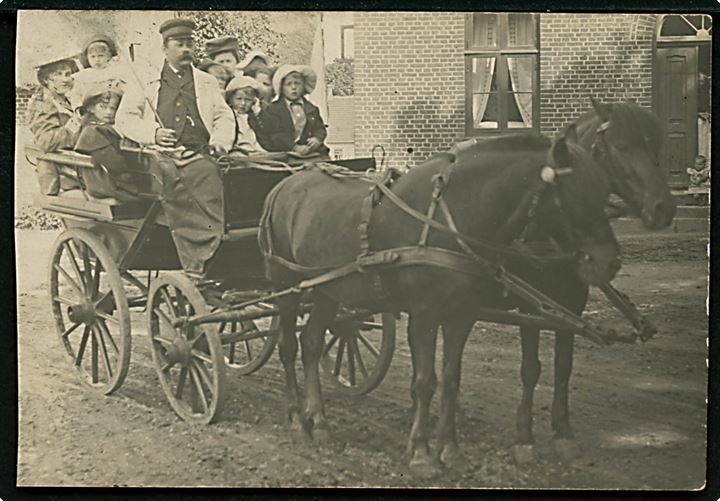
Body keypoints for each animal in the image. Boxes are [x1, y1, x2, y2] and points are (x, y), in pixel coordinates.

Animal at [258, 127, 620, 474]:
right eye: (576, 195)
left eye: (604, 192)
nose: (611, 262)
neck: (451, 219)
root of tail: (284, 185)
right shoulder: (424, 315)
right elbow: (424, 382)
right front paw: (421, 454)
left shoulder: (462, 314)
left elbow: (450, 379)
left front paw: (451, 449)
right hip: (286, 284)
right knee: (288, 346)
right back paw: (297, 420)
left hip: (327, 290)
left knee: (311, 342)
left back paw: (319, 422)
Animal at [506, 99, 676, 462]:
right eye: (622, 146)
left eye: (653, 147)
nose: (665, 209)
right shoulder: (531, 307)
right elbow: (531, 368)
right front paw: (524, 436)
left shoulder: (572, 304)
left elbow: (563, 366)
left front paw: (563, 431)